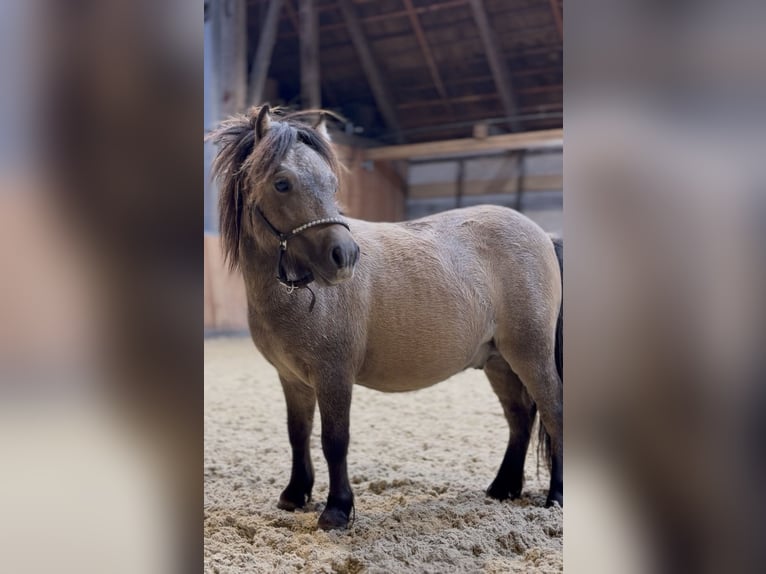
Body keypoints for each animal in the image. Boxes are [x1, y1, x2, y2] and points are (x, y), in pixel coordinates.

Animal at [208, 105, 563, 530]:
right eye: (282, 183)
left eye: (332, 184)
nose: (345, 256)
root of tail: (542, 234)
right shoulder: (291, 378)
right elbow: (298, 433)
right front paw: (294, 495)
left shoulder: (334, 375)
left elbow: (334, 440)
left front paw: (337, 510)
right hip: (499, 362)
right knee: (519, 418)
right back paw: (502, 488)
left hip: (531, 353)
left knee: (553, 411)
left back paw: (556, 497)